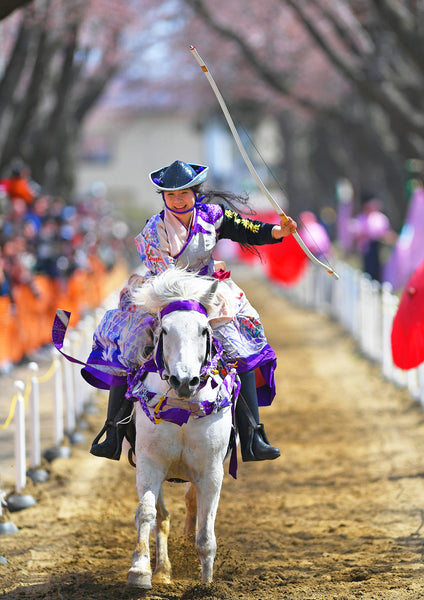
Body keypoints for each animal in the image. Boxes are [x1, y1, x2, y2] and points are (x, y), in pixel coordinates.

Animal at [124, 270, 240, 588]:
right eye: (164, 330)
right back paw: (163, 571)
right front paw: (140, 570)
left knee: (191, 505)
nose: (184, 380)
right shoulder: (150, 463)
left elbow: (206, 535)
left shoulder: (211, 471)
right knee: (162, 516)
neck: (183, 409)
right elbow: (148, 513)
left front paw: (207, 585)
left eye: (203, 331)